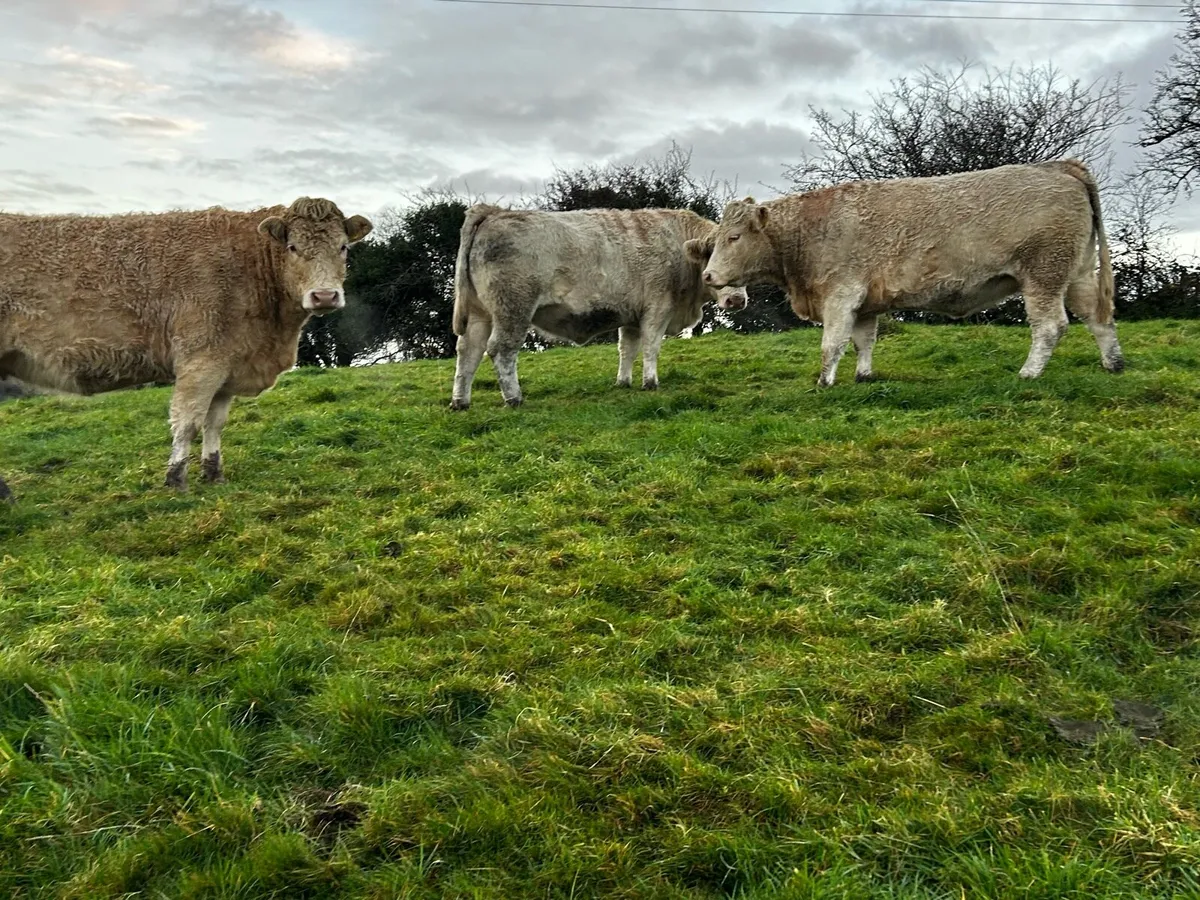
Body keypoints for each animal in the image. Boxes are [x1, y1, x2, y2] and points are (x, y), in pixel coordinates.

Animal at [0, 197, 373, 496]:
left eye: (342, 247)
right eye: (293, 247)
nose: (324, 296)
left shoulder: (227, 364)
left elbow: (214, 423)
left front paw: (214, 474)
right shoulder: (201, 360)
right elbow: (188, 422)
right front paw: (176, 480)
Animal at [448, 205, 749, 410]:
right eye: (713, 255)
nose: (737, 300)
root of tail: (493, 211)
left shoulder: (632, 316)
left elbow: (627, 349)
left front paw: (623, 382)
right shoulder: (658, 308)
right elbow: (651, 347)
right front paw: (650, 382)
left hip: (480, 313)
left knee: (468, 351)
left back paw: (460, 401)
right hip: (513, 308)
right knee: (501, 350)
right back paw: (514, 398)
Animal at [688, 159, 1124, 387]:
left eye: (733, 237)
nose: (708, 277)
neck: (808, 231)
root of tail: (1059, 167)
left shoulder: (840, 295)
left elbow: (832, 344)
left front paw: (824, 382)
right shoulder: (865, 303)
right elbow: (864, 341)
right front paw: (864, 376)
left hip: (1044, 273)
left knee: (1050, 326)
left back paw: (1029, 373)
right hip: (1077, 273)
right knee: (1099, 318)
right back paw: (1114, 365)